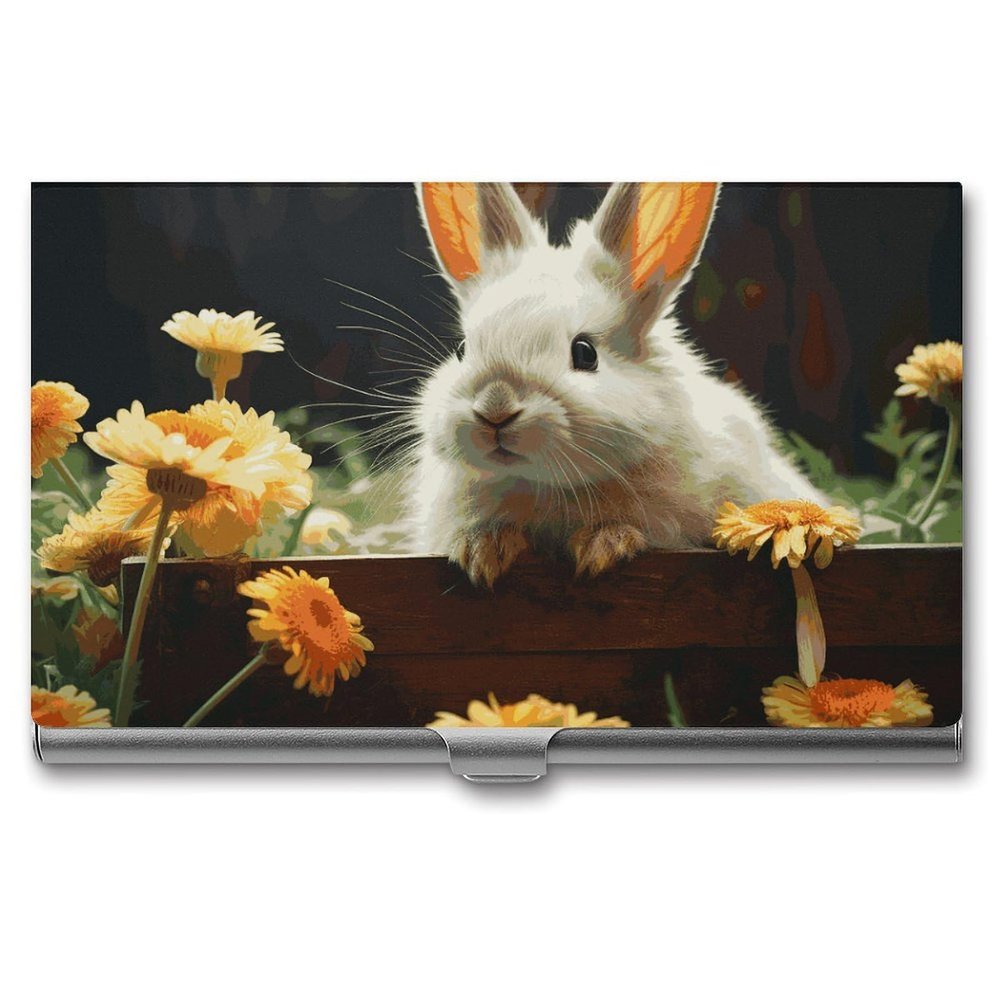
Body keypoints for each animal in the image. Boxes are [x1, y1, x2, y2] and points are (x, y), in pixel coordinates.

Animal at [409, 181, 825, 586]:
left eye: (585, 353)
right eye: (462, 349)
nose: (495, 408)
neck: (547, 486)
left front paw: (602, 545)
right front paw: (482, 552)